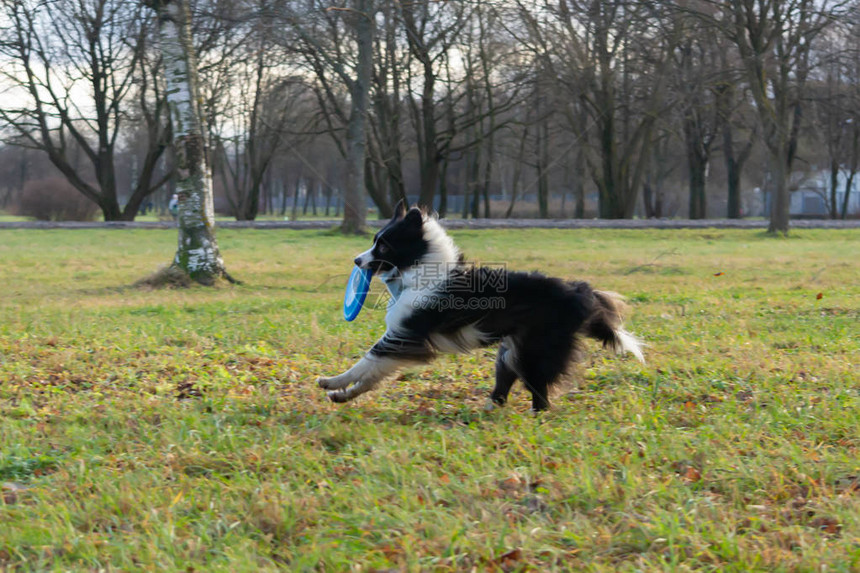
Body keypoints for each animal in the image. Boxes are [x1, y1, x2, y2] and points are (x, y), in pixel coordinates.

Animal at [320, 201, 640, 412]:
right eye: (374, 241)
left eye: (383, 246)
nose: (356, 261)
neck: (421, 270)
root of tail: (581, 291)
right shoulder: (404, 339)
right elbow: (373, 373)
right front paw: (343, 394)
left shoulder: (404, 335)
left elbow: (366, 361)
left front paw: (333, 381)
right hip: (510, 351)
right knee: (506, 383)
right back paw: (487, 409)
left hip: (535, 351)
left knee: (540, 393)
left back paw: (532, 413)